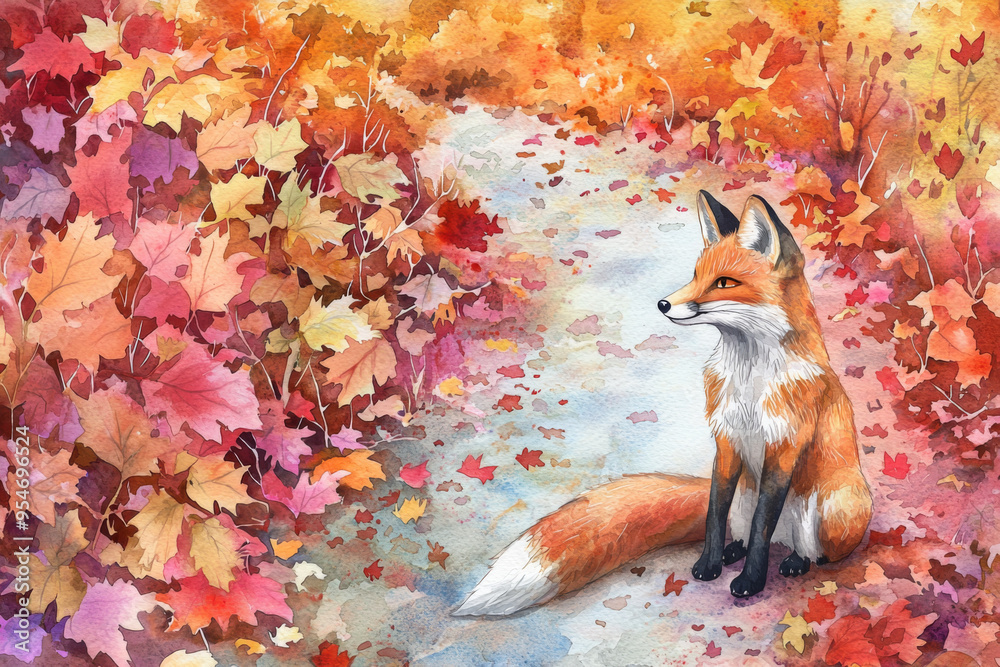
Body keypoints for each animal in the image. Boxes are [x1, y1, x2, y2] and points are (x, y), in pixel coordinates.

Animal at [454, 191, 873, 616]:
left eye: (724, 283)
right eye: (695, 275)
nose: (663, 304)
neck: (749, 382)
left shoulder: (784, 446)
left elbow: (761, 526)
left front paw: (750, 583)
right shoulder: (726, 440)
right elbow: (714, 515)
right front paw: (710, 564)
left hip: (830, 508)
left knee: (809, 550)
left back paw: (794, 562)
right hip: (748, 495)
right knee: (743, 531)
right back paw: (733, 553)